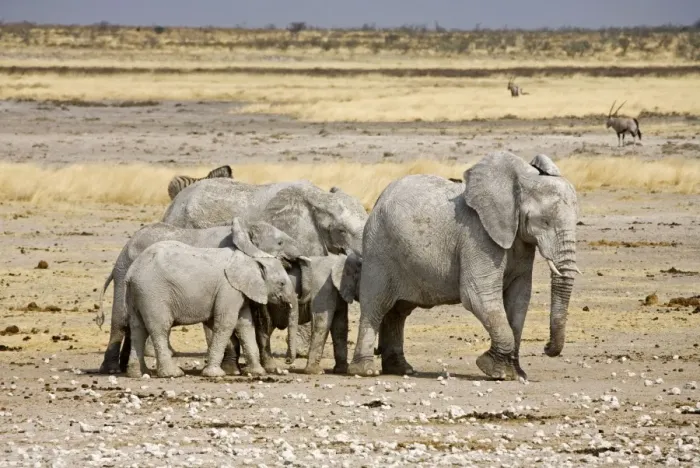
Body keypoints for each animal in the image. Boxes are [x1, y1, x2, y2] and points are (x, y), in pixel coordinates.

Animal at [97, 217, 302, 374]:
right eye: (280, 242)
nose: (288, 361)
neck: (246, 228)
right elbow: (222, 323)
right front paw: (229, 370)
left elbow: (252, 321)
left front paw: (264, 369)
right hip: (128, 276)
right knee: (123, 321)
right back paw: (113, 369)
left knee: (136, 326)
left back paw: (132, 369)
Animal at [230, 252, 362, 375]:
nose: (287, 360)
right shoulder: (323, 291)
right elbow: (321, 323)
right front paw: (316, 372)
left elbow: (340, 326)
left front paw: (341, 370)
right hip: (262, 301)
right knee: (264, 328)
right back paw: (270, 368)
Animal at [347, 151, 580, 380]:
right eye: (544, 221)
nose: (546, 347)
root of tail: (379, 200)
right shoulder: (478, 237)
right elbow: (477, 295)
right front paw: (493, 370)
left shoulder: (520, 242)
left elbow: (519, 299)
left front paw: (516, 374)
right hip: (378, 249)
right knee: (376, 305)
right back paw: (366, 371)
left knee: (399, 311)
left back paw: (402, 369)